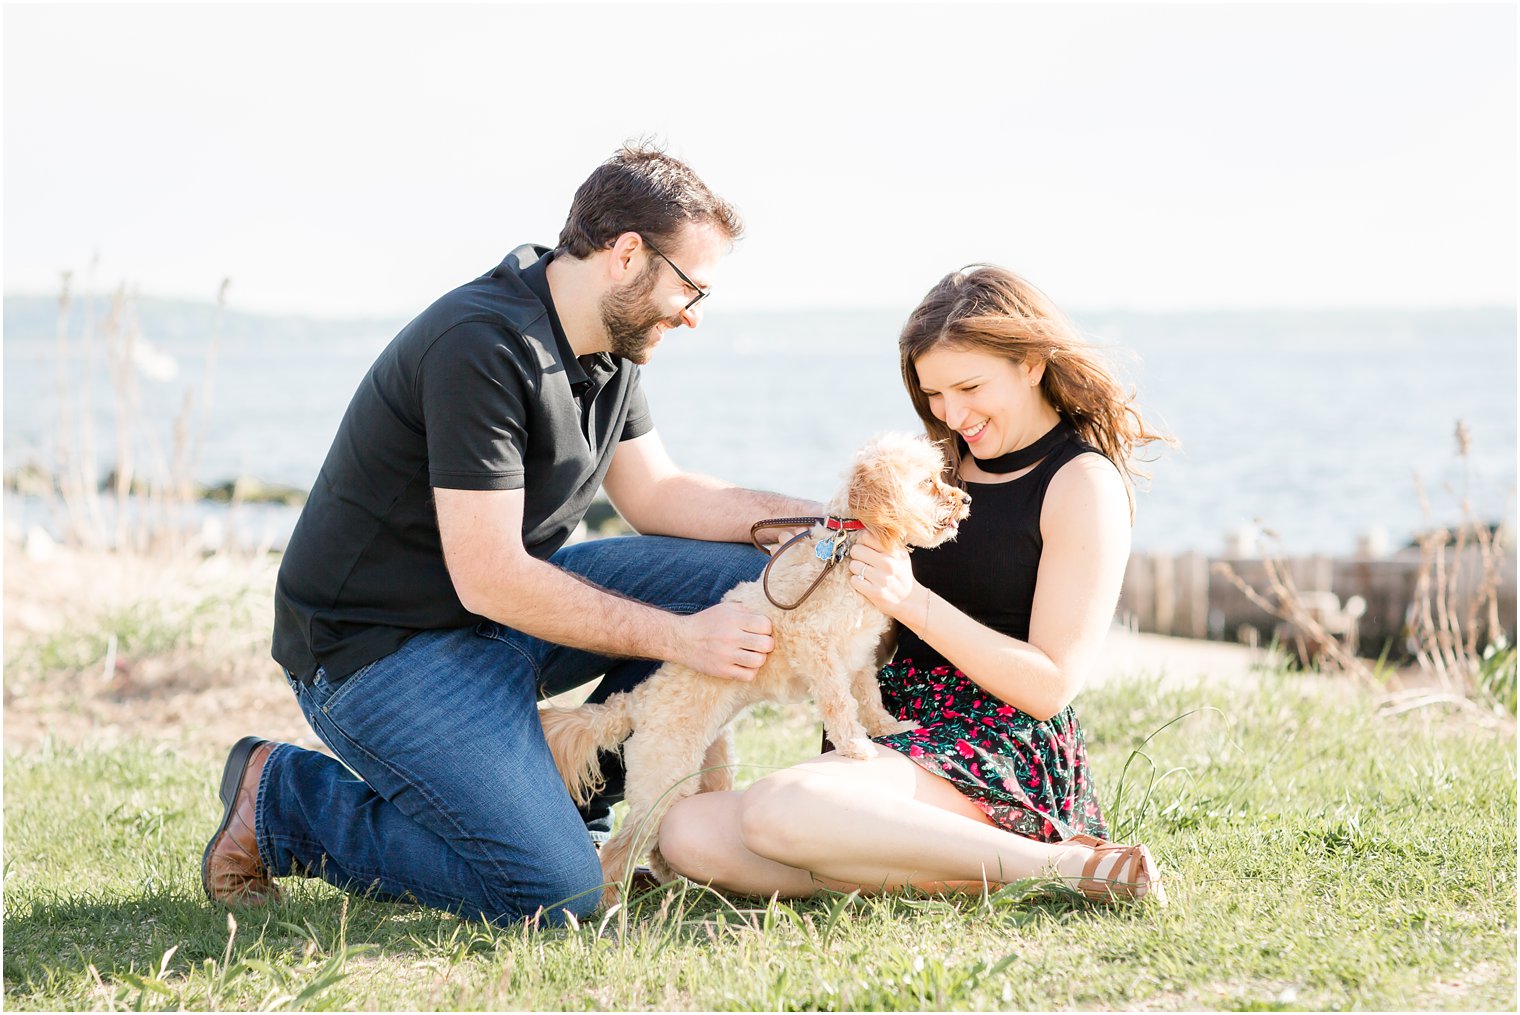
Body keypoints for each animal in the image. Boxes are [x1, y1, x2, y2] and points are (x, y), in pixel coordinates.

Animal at [544, 431, 972, 899]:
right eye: (928, 482)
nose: (965, 499)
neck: (845, 550)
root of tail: (635, 702)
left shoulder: (860, 657)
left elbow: (870, 700)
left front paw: (886, 728)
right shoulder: (816, 648)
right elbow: (840, 705)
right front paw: (856, 746)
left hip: (708, 771)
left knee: (664, 835)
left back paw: (673, 883)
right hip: (664, 776)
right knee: (621, 848)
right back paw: (609, 900)